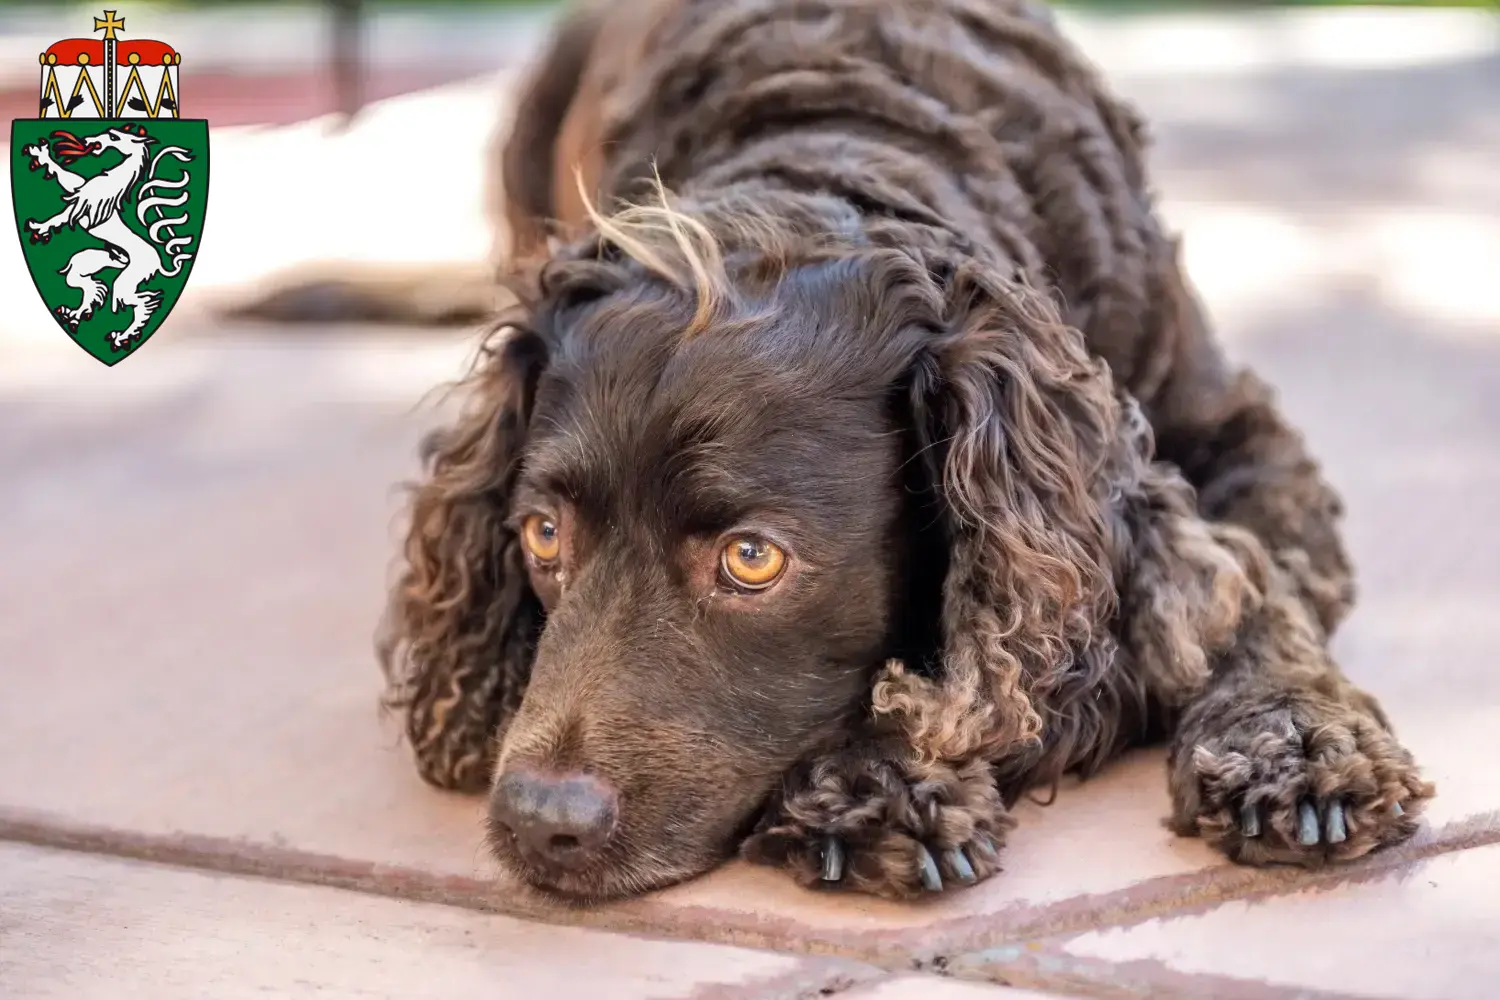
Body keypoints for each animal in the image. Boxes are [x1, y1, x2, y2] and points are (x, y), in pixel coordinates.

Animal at [375, 0, 1428, 905]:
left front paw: (1295, 743)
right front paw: (880, 779)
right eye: (543, 536)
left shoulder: (1242, 443)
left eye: (752, 558)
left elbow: (1256, 593)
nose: (537, 821)